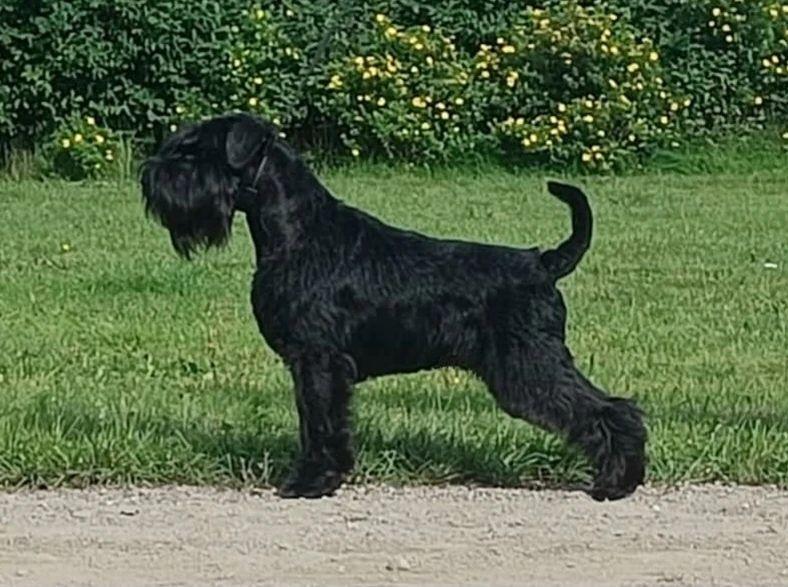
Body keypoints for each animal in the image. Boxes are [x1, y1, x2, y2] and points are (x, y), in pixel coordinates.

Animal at [141, 113, 646, 500]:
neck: (298, 231)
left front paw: (311, 482)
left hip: (528, 366)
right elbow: (315, 423)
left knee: (612, 410)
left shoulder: (318, 360)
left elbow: (321, 424)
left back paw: (616, 483)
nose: (148, 176)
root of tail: (542, 263)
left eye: (194, 154)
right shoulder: (310, 364)